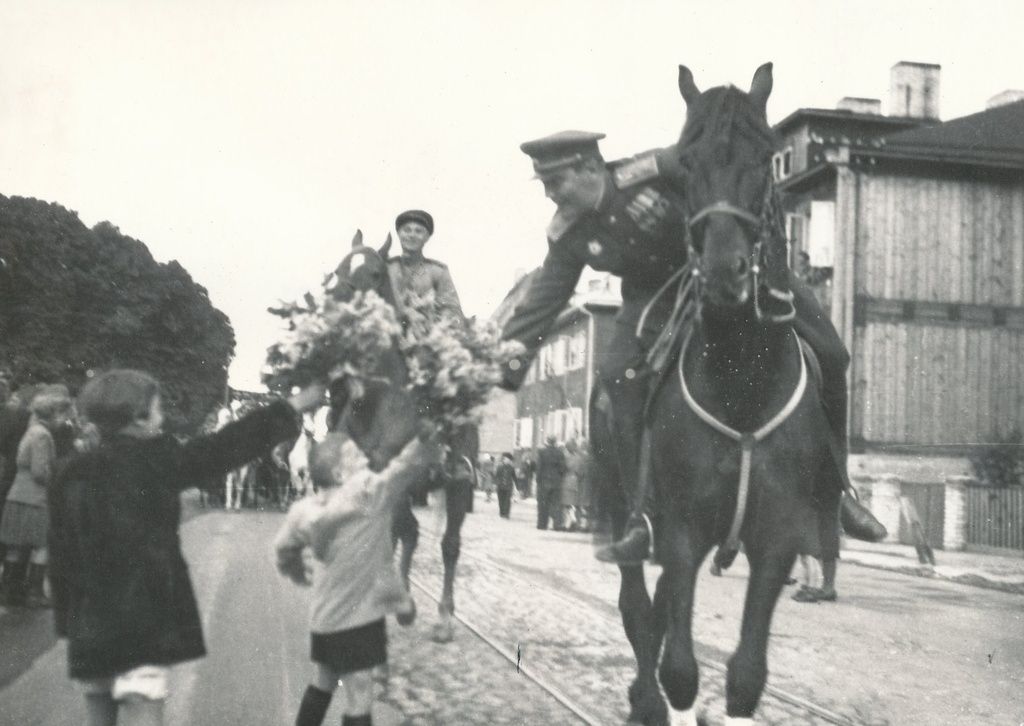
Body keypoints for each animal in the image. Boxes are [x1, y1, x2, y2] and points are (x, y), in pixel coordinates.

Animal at [327, 229, 479, 643]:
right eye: (339, 267)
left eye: (376, 273)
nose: (334, 308)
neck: (380, 398)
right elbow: (386, 533)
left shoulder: (395, 476)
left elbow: (405, 533)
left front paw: (408, 606)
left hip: (458, 486)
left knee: (449, 544)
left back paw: (442, 617)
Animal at [598, 65, 843, 720]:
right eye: (687, 163)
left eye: (766, 159)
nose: (722, 276)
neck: (743, 381)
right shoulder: (681, 530)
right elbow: (681, 669)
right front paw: (666, 695)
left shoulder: (778, 539)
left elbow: (745, 676)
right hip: (621, 506)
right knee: (639, 608)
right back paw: (645, 699)